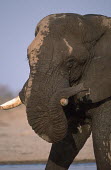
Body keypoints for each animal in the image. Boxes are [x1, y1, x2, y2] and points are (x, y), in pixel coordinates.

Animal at [0, 13, 111, 170]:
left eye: (70, 63)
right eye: (28, 59)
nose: (82, 87)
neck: (93, 23)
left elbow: (102, 142)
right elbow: (66, 143)